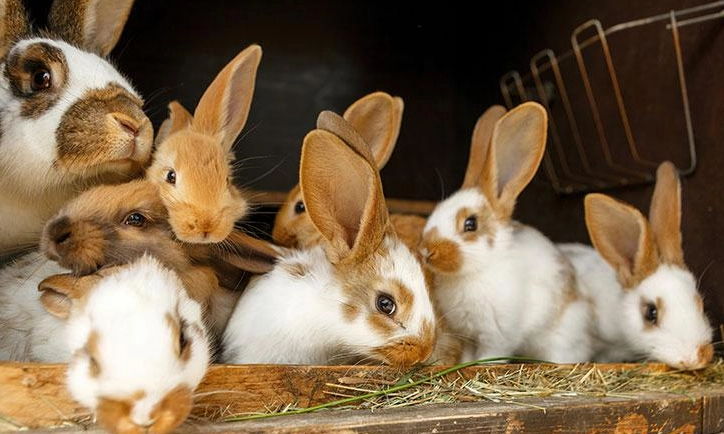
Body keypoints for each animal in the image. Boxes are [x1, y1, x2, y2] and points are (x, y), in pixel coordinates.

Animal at [419, 101, 594, 364]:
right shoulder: (467, 335)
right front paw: (463, 365)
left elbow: (491, 355)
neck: (476, 271)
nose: (426, 251)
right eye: (436, 210)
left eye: (470, 224)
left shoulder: (496, 335)